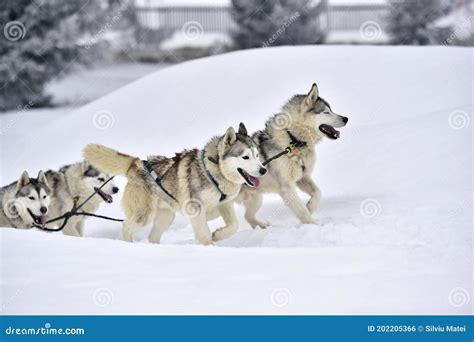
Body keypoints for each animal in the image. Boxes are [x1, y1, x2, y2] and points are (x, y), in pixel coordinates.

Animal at [84, 123, 266, 246]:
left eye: (257, 155)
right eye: (245, 157)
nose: (263, 170)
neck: (214, 171)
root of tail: (135, 164)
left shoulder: (224, 204)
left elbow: (233, 225)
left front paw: (218, 234)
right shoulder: (196, 208)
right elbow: (204, 233)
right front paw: (210, 245)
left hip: (166, 217)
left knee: (152, 237)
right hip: (144, 216)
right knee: (126, 226)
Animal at [241, 83, 348, 227]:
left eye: (331, 110)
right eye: (326, 112)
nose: (346, 119)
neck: (293, 140)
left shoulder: (303, 178)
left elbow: (318, 193)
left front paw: (310, 207)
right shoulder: (288, 187)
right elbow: (302, 211)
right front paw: (314, 226)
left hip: (256, 199)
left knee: (248, 217)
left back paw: (262, 227)